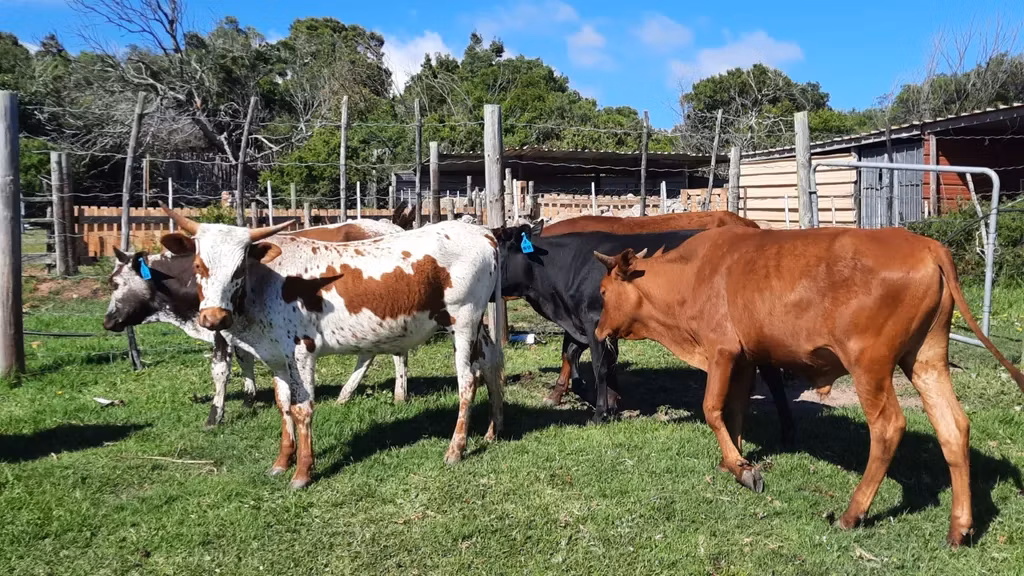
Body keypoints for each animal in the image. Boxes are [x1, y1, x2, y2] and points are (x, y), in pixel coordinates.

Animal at [102, 219, 414, 427]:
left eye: (114, 283)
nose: (108, 320)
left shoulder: (219, 326)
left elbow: (220, 370)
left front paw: (215, 415)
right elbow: (245, 360)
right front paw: (249, 397)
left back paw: (396, 392)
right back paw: (351, 394)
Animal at [158, 205, 504, 489]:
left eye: (239, 268)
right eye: (199, 265)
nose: (214, 317)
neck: (267, 284)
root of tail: (482, 232)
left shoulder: (301, 351)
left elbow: (302, 409)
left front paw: (302, 473)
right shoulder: (276, 357)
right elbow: (283, 405)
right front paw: (281, 462)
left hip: (463, 320)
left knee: (468, 380)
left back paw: (456, 448)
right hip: (476, 325)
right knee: (491, 363)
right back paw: (493, 430)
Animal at [494, 220, 795, 443]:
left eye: (496, 250)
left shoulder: (592, 321)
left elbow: (599, 367)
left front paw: (601, 412)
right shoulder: (587, 324)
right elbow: (577, 356)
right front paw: (609, 401)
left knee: (773, 377)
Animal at [592, 225, 1024, 547]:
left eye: (603, 292)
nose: (597, 331)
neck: (690, 274)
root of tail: (927, 245)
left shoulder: (722, 350)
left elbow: (712, 409)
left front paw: (742, 468)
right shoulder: (746, 356)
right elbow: (734, 412)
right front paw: (735, 461)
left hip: (870, 365)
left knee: (888, 427)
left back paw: (853, 513)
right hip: (926, 358)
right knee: (954, 427)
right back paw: (960, 527)